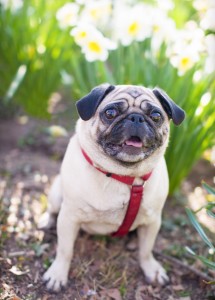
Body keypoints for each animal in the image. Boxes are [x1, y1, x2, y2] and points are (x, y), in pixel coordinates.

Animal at [40, 84, 185, 290]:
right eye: (110, 113)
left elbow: (146, 250)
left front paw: (152, 269)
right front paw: (57, 274)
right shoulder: (69, 217)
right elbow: (65, 250)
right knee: (53, 210)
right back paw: (46, 221)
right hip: (56, 195)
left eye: (156, 116)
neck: (124, 176)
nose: (136, 118)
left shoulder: (152, 221)